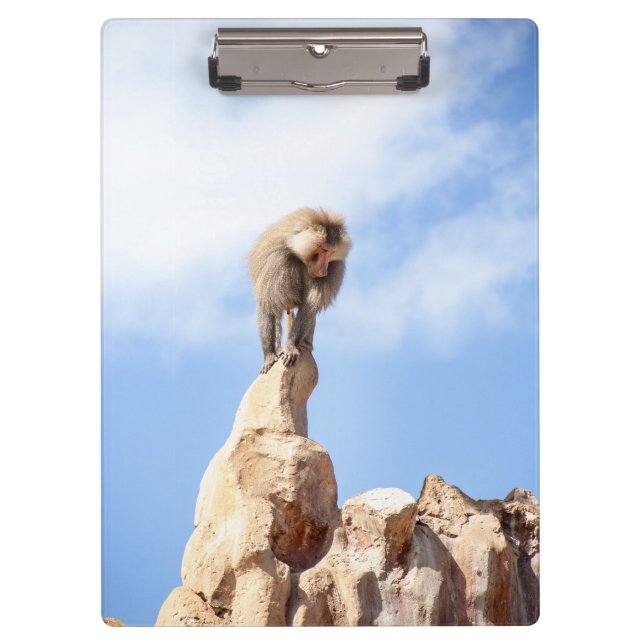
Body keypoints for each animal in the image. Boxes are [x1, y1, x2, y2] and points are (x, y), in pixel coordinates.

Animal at [248, 207, 352, 374]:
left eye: (331, 252)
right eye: (323, 249)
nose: (324, 271)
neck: (297, 253)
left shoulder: (333, 268)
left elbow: (309, 308)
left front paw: (291, 348)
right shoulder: (274, 261)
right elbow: (268, 304)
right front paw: (269, 356)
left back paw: (305, 346)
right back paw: (278, 350)